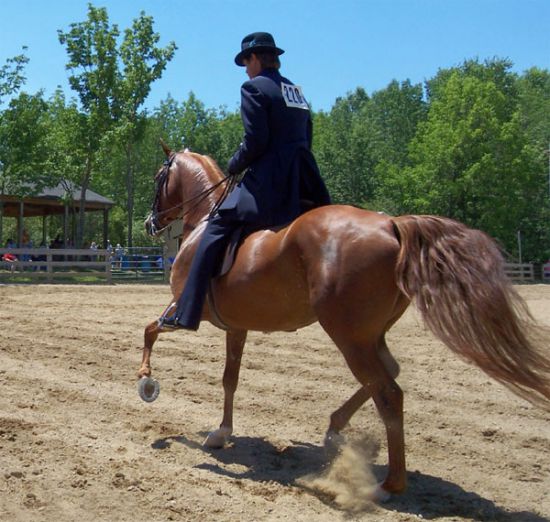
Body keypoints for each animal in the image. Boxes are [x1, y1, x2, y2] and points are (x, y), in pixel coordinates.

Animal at [139, 143, 550, 500]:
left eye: (159, 177)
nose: (150, 223)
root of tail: (391, 225)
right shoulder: (237, 326)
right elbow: (230, 379)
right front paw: (221, 433)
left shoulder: (179, 307)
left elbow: (150, 330)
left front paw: (146, 383)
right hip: (369, 334)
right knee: (386, 373)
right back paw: (336, 430)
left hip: (348, 334)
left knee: (388, 392)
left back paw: (387, 485)